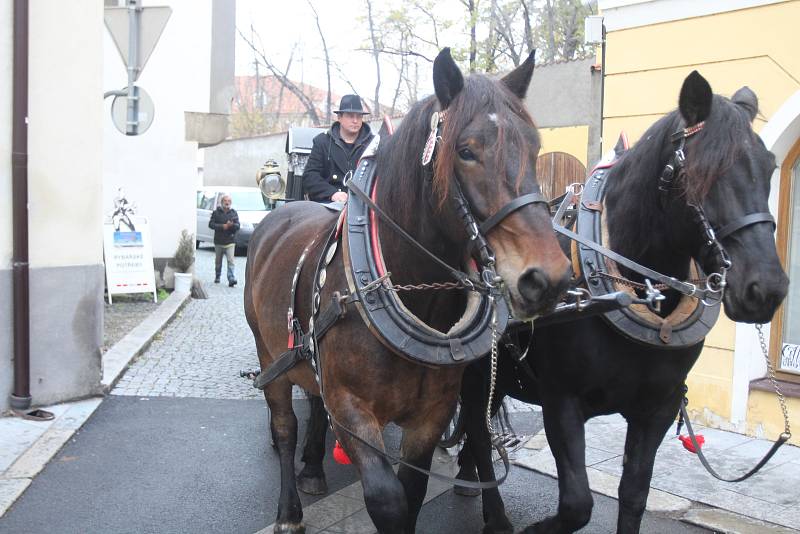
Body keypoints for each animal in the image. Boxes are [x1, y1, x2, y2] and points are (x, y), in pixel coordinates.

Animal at [247, 48, 572, 532]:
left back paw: (312, 468)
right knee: (285, 427)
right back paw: (290, 506)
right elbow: (387, 499)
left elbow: (414, 491)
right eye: (466, 151)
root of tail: (280, 216)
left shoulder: (430, 415)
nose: (547, 277)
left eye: (534, 148)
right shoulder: (352, 409)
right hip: (270, 355)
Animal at [454, 71, 792, 534]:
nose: (766, 288)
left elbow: (634, 496)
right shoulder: (562, 402)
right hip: (473, 373)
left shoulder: (657, 408)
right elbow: (577, 504)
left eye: (770, 168)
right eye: (700, 172)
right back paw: (493, 511)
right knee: (477, 428)